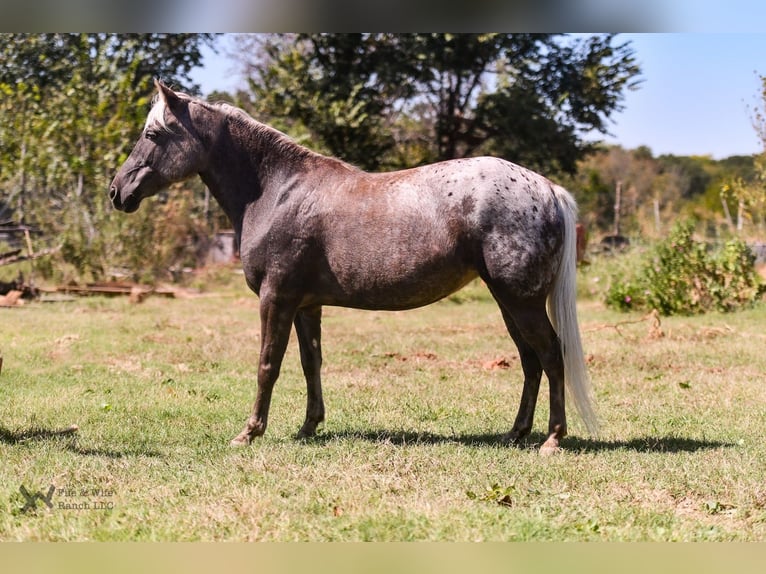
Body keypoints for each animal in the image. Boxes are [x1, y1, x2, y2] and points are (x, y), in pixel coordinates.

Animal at [108, 82, 600, 460]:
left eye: (152, 133)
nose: (117, 191)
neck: (277, 190)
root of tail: (547, 188)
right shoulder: (306, 305)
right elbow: (310, 363)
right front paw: (308, 427)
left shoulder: (276, 298)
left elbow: (268, 364)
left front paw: (249, 432)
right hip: (507, 301)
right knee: (530, 362)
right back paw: (515, 434)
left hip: (521, 301)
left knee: (551, 356)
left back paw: (552, 440)